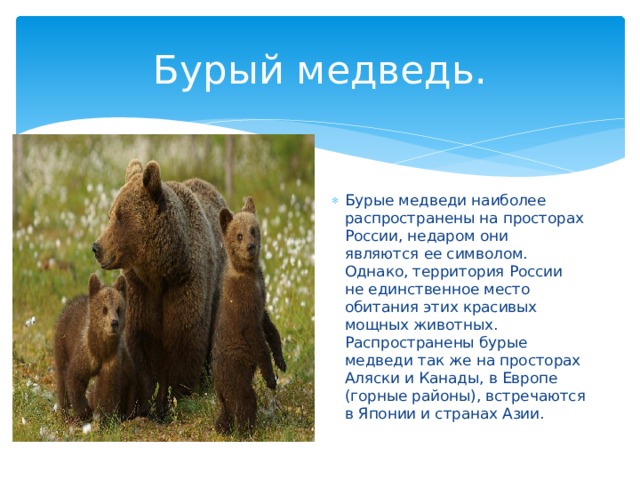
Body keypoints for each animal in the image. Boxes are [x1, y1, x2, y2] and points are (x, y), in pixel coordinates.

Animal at [54, 273, 135, 421]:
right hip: (62, 343)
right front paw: (84, 412)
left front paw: (105, 416)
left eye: (118, 309)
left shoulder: (112, 361)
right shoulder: (85, 354)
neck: (102, 349)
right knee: (61, 375)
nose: (114, 323)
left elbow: (107, 389)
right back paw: (65, 412)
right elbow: (74, 377)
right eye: (104, 309)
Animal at [92, 159, 226, 418]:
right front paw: (144, 404)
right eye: (110, 214)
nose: (97, 247)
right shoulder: (140, 289)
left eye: (120, 217)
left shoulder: (185, 282)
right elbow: (143, 340)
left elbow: (183, 336)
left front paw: (173, 399)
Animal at [212, 196, 285, 434]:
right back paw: (248, 430)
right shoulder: (244, 303)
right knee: (244, 399)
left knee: (229, 408)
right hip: (235, 368)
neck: (249, 274)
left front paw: (281, 360)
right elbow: (257, 338)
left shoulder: (260, 295)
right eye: (239, 235)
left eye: (254, 229)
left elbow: (269, 326)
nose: (250, 247)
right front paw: (271, 378)